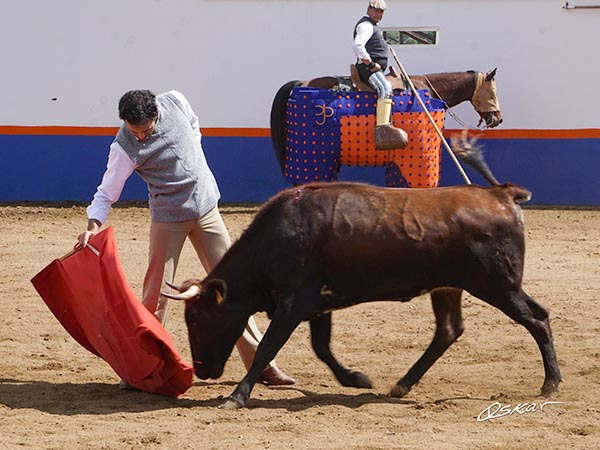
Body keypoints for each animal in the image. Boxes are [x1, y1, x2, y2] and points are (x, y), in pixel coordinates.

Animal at [166, 180, 560, 412]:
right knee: (449, 330)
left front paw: (236, 397)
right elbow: (322, 347)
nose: (202, 371)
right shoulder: (316, 305)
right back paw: (401, 385)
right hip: (450, 287)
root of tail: (499, 194)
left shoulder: (294, 304)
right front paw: (355, 379)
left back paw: (550, 383)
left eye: (196, 319)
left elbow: (268, 348)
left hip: (498, 286)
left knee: (536, 318)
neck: (278, 238)